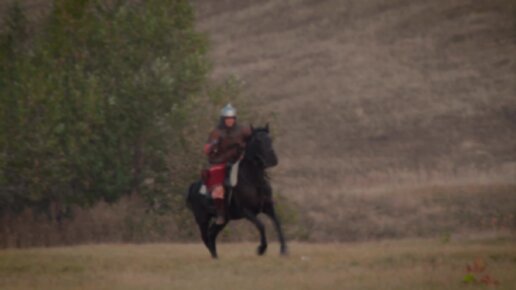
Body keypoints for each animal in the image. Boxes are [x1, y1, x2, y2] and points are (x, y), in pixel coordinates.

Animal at [185, 124, 288, 258]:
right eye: (257, 140)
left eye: (270, 139)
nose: (272, 160)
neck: (254, 181)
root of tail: (193, 186)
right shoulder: (247, 211)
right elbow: (261, 225)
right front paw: (261, 249)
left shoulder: (268, 207)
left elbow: (278, 223)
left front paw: (283, 250)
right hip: (202, 219)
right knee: (205, 237)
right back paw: (214, 256)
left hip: (223, 219)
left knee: (211, 235)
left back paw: (216, 257)